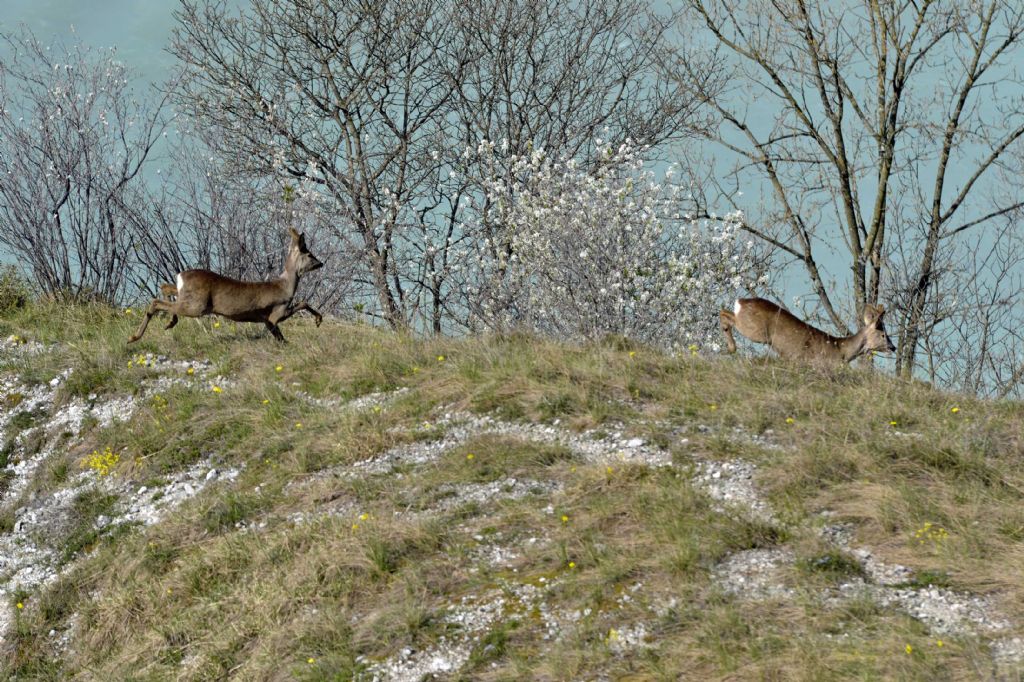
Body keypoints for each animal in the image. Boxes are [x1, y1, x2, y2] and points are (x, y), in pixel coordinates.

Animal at [127, 228, 321, 342]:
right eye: (310, 254)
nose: (321, 263)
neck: (285, 286)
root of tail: (181, 275)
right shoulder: (277, 313)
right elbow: (303, 303)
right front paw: (318, 320)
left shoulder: (267, 321)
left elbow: (280, 337)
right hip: (197, 305)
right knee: (157, 301)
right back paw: (134, 337)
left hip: (187, 296)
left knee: (165, 288)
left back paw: (168, 323)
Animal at [720, 296, 897, 360]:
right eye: (883, 334)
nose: (893, 347)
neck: (842, 351)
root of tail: (741, 302)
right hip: (755, 330)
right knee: (725, 314)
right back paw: (731, 348)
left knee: (724, 311)